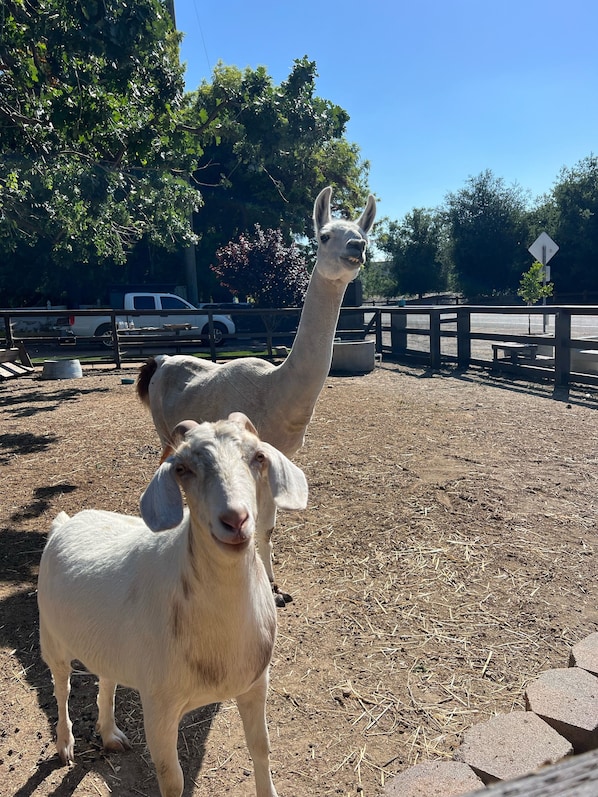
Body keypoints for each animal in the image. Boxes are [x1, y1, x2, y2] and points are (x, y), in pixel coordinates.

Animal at [37, 410, 310, 796]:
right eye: (183, 468)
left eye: (258, 456)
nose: (236, 520)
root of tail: (67, 521)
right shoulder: (159, 706)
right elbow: (172, 778)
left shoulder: (256, 684)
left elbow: (261, 748)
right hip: (52, 637)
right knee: (62, 686)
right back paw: (65, 745)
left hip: (108, 643)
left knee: (107, 678)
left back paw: (110, 734)